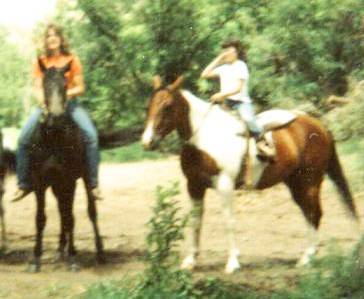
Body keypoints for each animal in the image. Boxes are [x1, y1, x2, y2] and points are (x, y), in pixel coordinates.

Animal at [25, 59, 104, 274]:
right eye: (45, 84)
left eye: (65, 85)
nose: (56, 117)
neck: (54, 137)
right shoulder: (40, 183)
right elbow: (40, 218)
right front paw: (36, 259)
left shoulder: (69, 181)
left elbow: (70, 218)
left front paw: (73, 258)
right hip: (56, 186)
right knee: (61, 212)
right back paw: (60, 249)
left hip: (84, 179)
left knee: (90, 211)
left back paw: (99, 252)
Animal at [143, 75, 358, 274]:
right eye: (149, 105)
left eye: (168, 106)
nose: (147, 141)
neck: (204, 138)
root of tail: (320, 127)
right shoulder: (194, 186)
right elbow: (195, 222)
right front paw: (190, 262)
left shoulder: (225, 185)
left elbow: (229, 221)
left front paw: (232, 263)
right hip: (296, 184)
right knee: (309, 214)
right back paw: (308, 256)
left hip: (309, 182)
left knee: (314, 213)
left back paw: (307, 258)